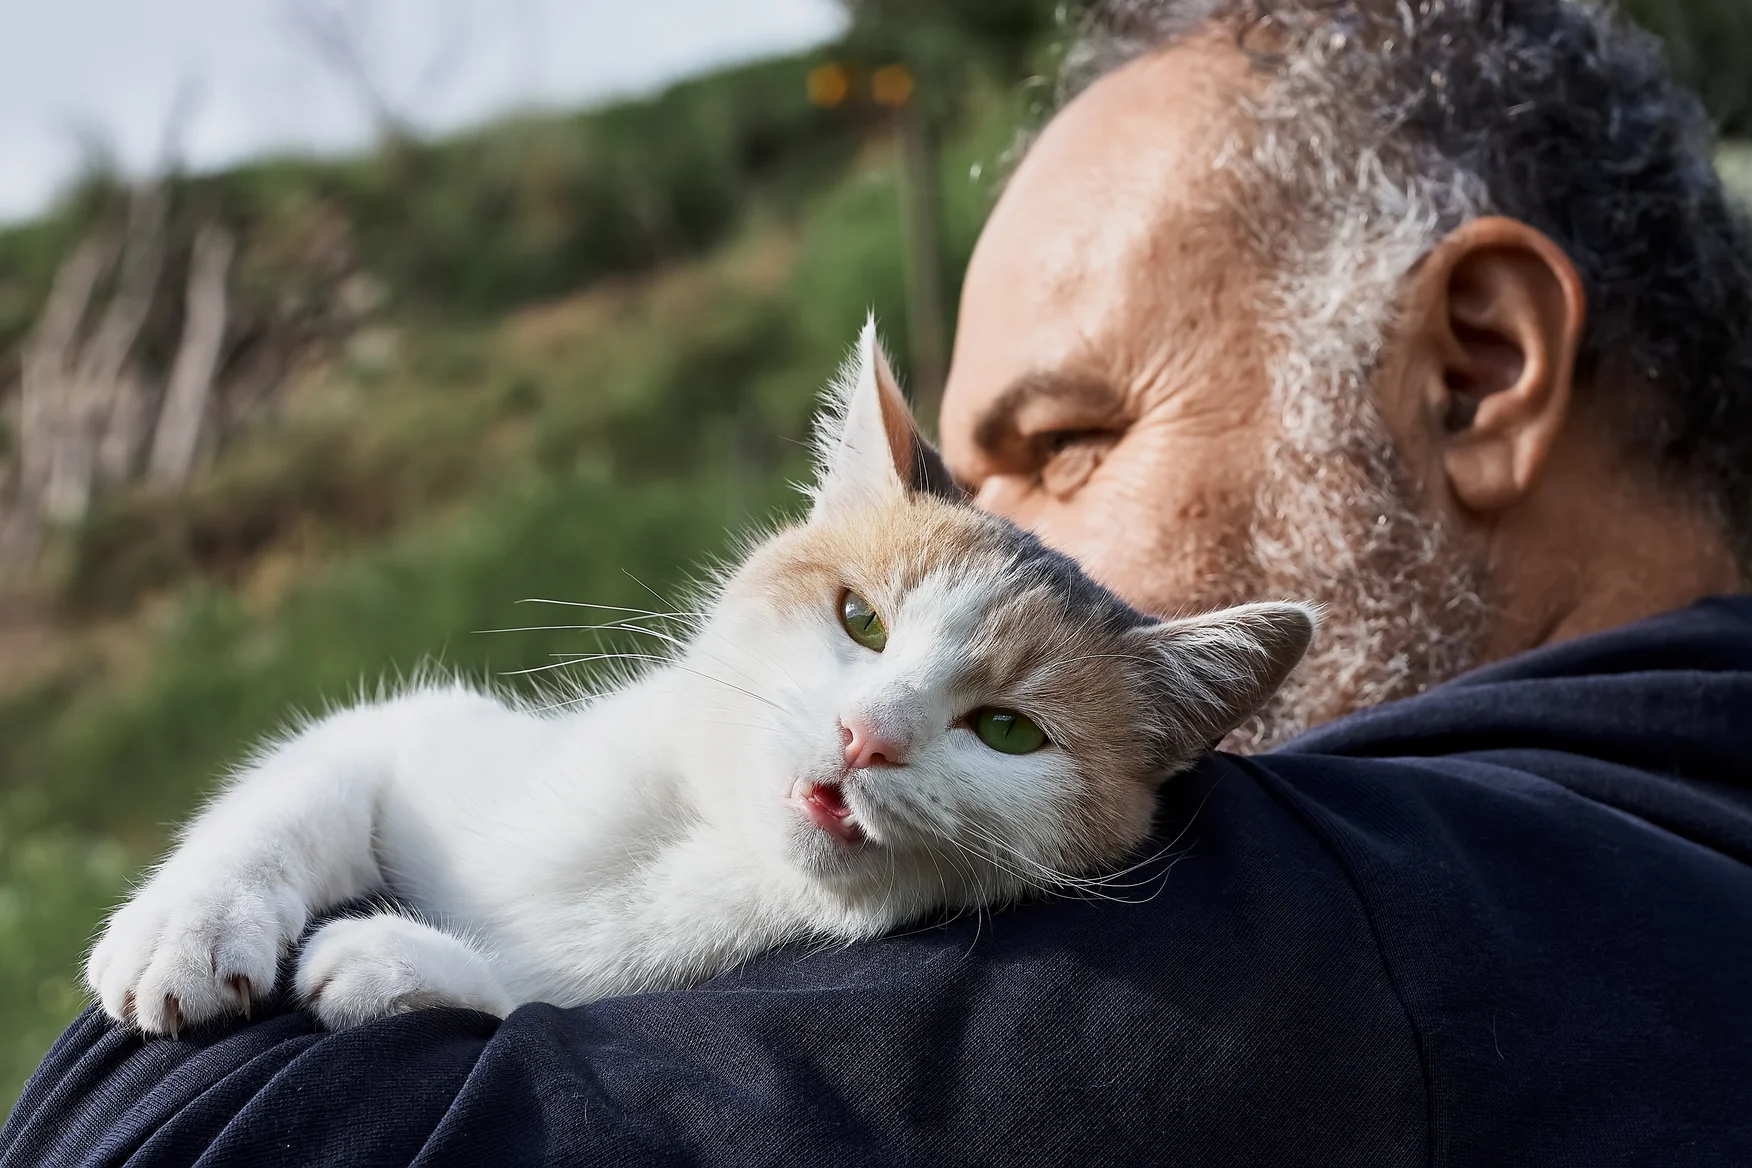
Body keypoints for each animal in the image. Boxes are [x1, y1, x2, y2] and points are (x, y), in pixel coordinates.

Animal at [82, 320, 1317, 1029]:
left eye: (1010, 731)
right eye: (862, 619)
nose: (868, 733)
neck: (684, 852)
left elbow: (537, 1002)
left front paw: (404, 967)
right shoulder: (423, 739)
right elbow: (300, 781)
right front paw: (187, 929)